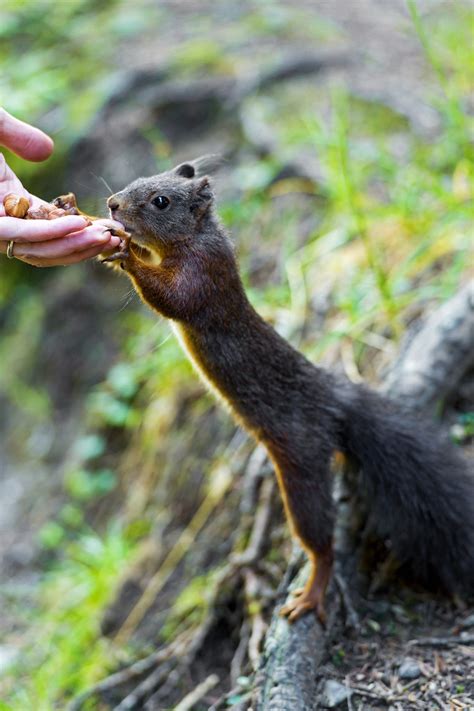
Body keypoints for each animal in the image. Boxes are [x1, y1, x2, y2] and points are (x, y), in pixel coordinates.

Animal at [103, 159, 474, 620]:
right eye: (139, 180)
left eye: (160, 201)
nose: (112, 204)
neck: (198, 237)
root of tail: (333, 400)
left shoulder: (203, 275)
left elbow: (173, 299)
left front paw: (126, 254)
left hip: (302, 469)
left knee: (322, 543)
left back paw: (312, 592)